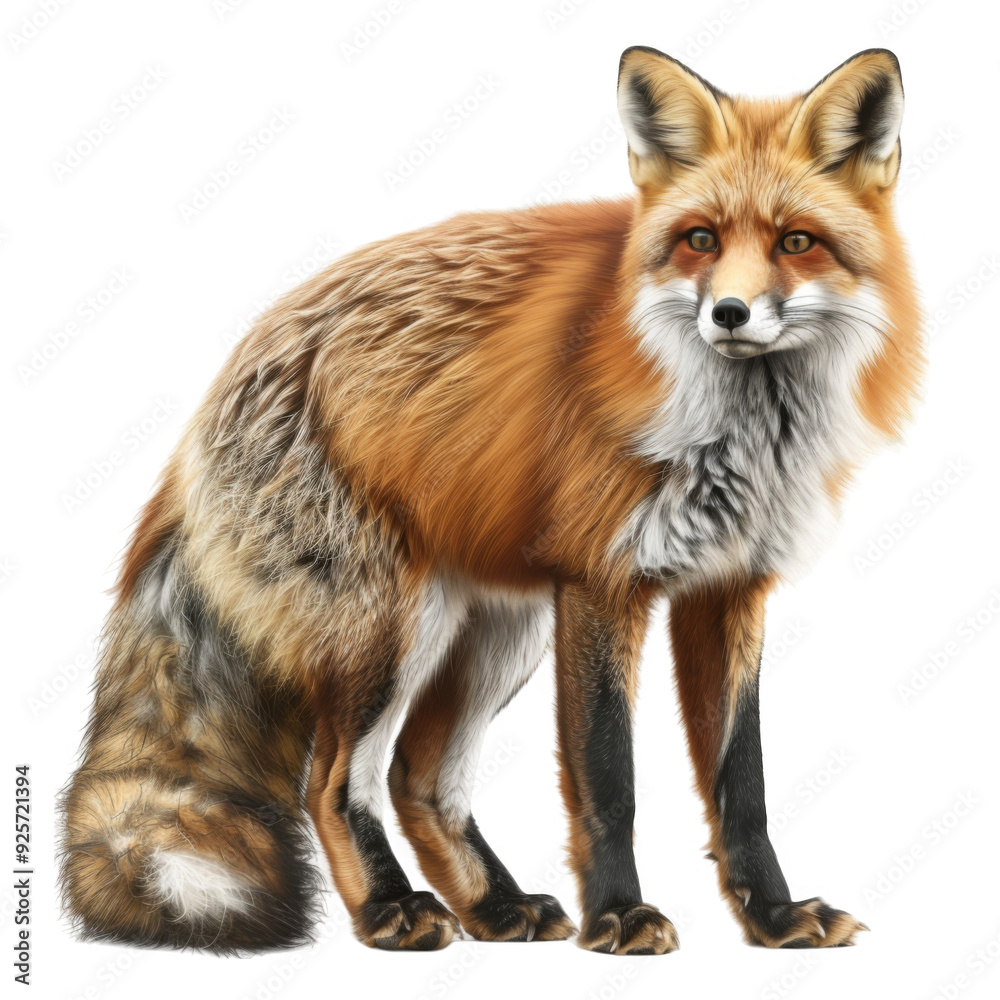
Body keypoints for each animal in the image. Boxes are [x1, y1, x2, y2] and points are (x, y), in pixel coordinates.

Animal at [60, 46, 923, 955]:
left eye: (797, 242)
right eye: (700, 240)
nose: (728, 313)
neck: (739, 433)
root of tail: (230, 373)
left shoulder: (728, 589)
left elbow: (742, 785)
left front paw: (775, 917)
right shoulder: (601, 584)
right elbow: (609, 780)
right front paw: (620, 916)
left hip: (499, 633)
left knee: (420, 778)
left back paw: (494, 905)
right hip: (390, 633)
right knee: (332, 781)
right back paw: (391, 908)